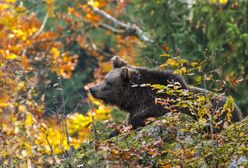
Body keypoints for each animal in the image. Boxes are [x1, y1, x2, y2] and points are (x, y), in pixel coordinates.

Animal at [88, 55, 242, 137]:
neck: (134, 98)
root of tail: (237, 110)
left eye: (108, 82)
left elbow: (137, 120)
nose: (92, 89)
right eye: (104, 78)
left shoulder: (154, 106)